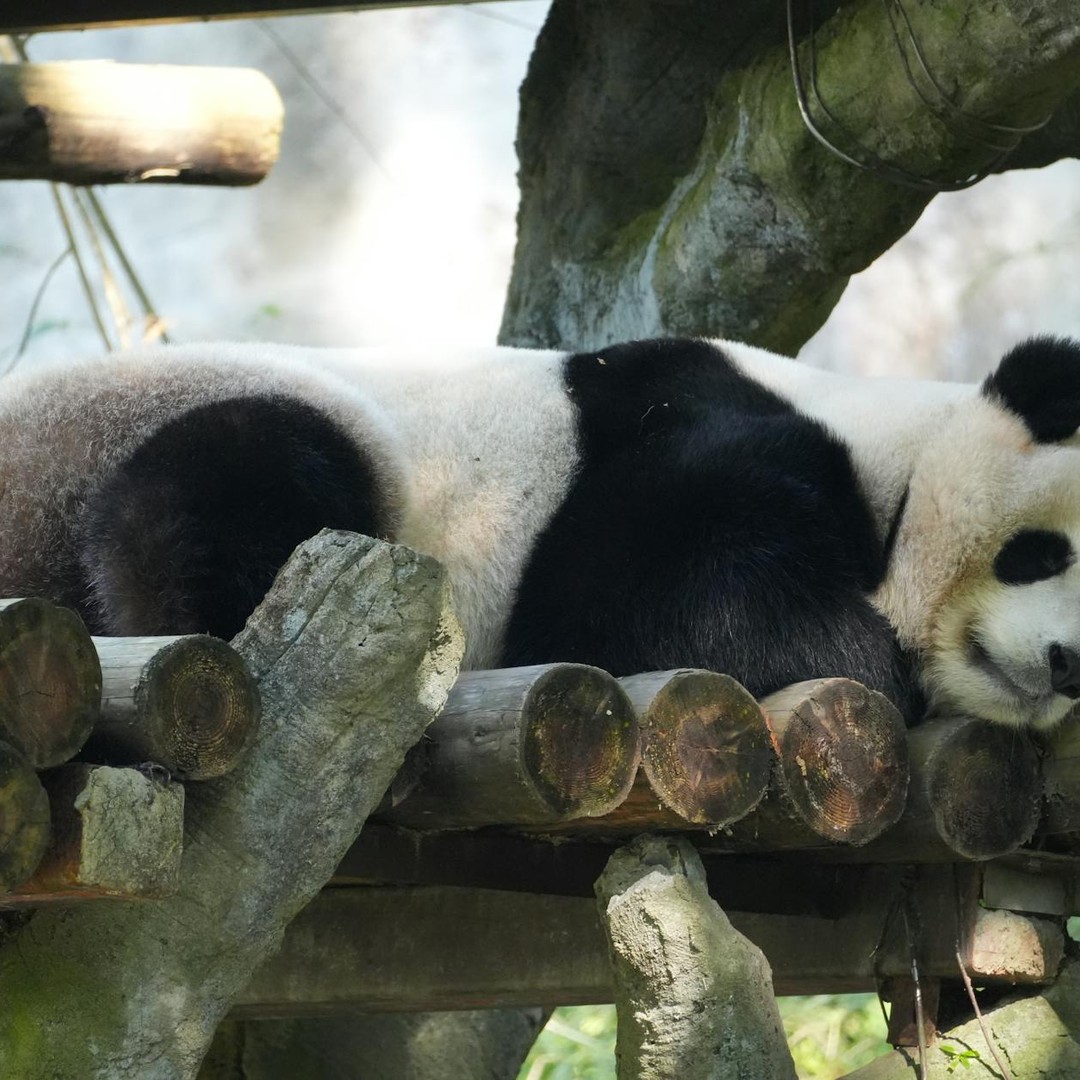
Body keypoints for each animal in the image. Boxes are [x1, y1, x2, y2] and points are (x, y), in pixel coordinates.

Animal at [1, 334, 1079, 731]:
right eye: (1046, 553)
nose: (1068, 666)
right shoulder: (694, 433)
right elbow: (652, 602)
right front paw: (867, 654)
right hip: (183, 418)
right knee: (210, 501)